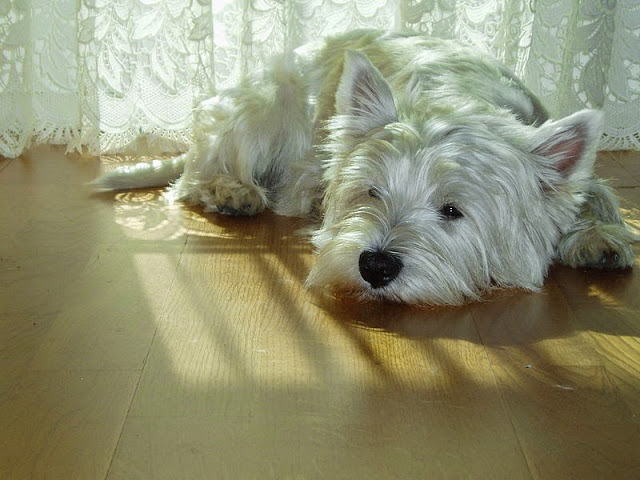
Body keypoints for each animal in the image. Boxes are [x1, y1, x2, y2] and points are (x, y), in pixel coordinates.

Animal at [92, 30, 636, 306]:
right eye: (372, 193)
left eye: (453, 211)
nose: (375, 266)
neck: (458, 100)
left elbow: (598, 192)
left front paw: (599, 239)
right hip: (269, 104)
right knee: (193, 176)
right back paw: (233, 192)